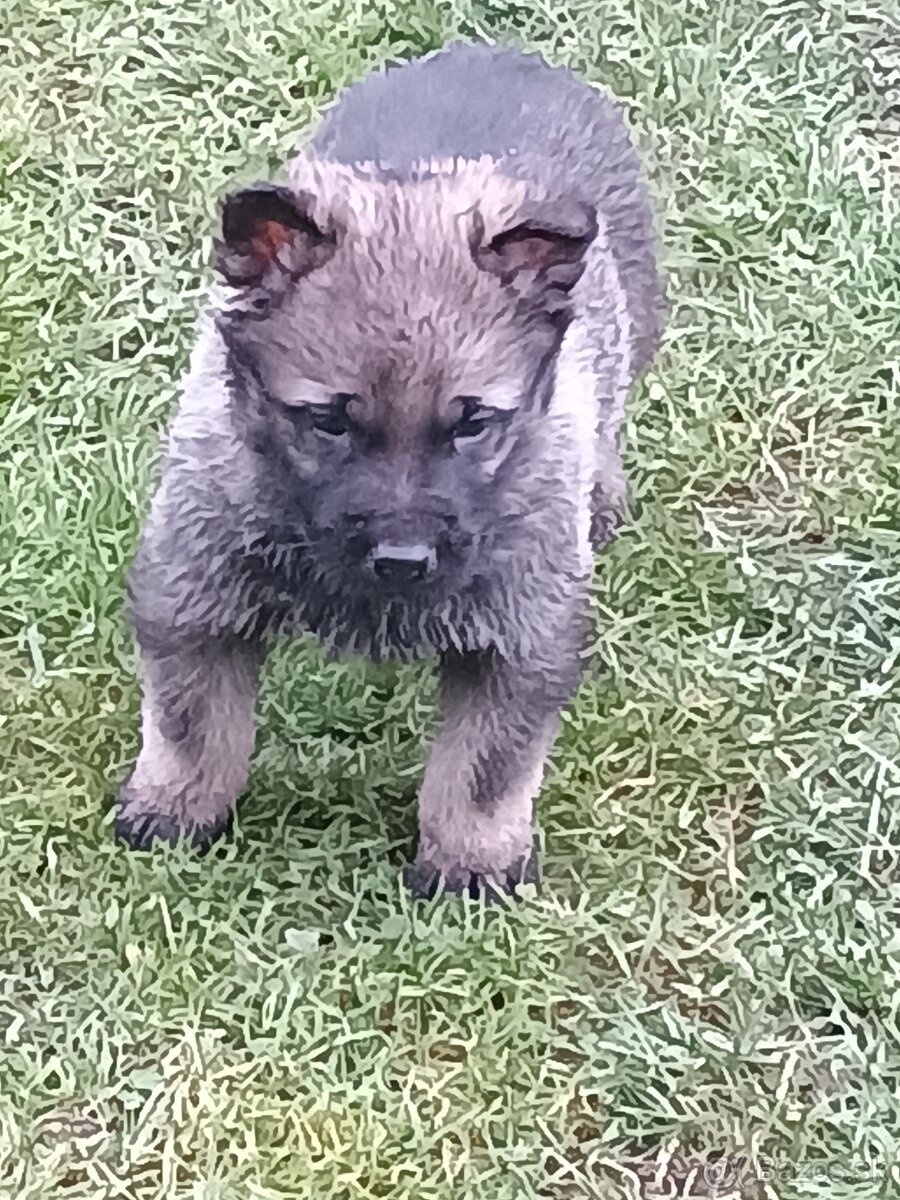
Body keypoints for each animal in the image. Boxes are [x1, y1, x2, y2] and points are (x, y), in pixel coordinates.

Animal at [116, 39, 662, 902]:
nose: (403, 561)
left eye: (472, 422)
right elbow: (193, 723)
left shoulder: (521, 631)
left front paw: (472, 860)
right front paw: (174, 808)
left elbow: (484, 769)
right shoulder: (195, 588)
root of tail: (502, 53)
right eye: (329, 420)